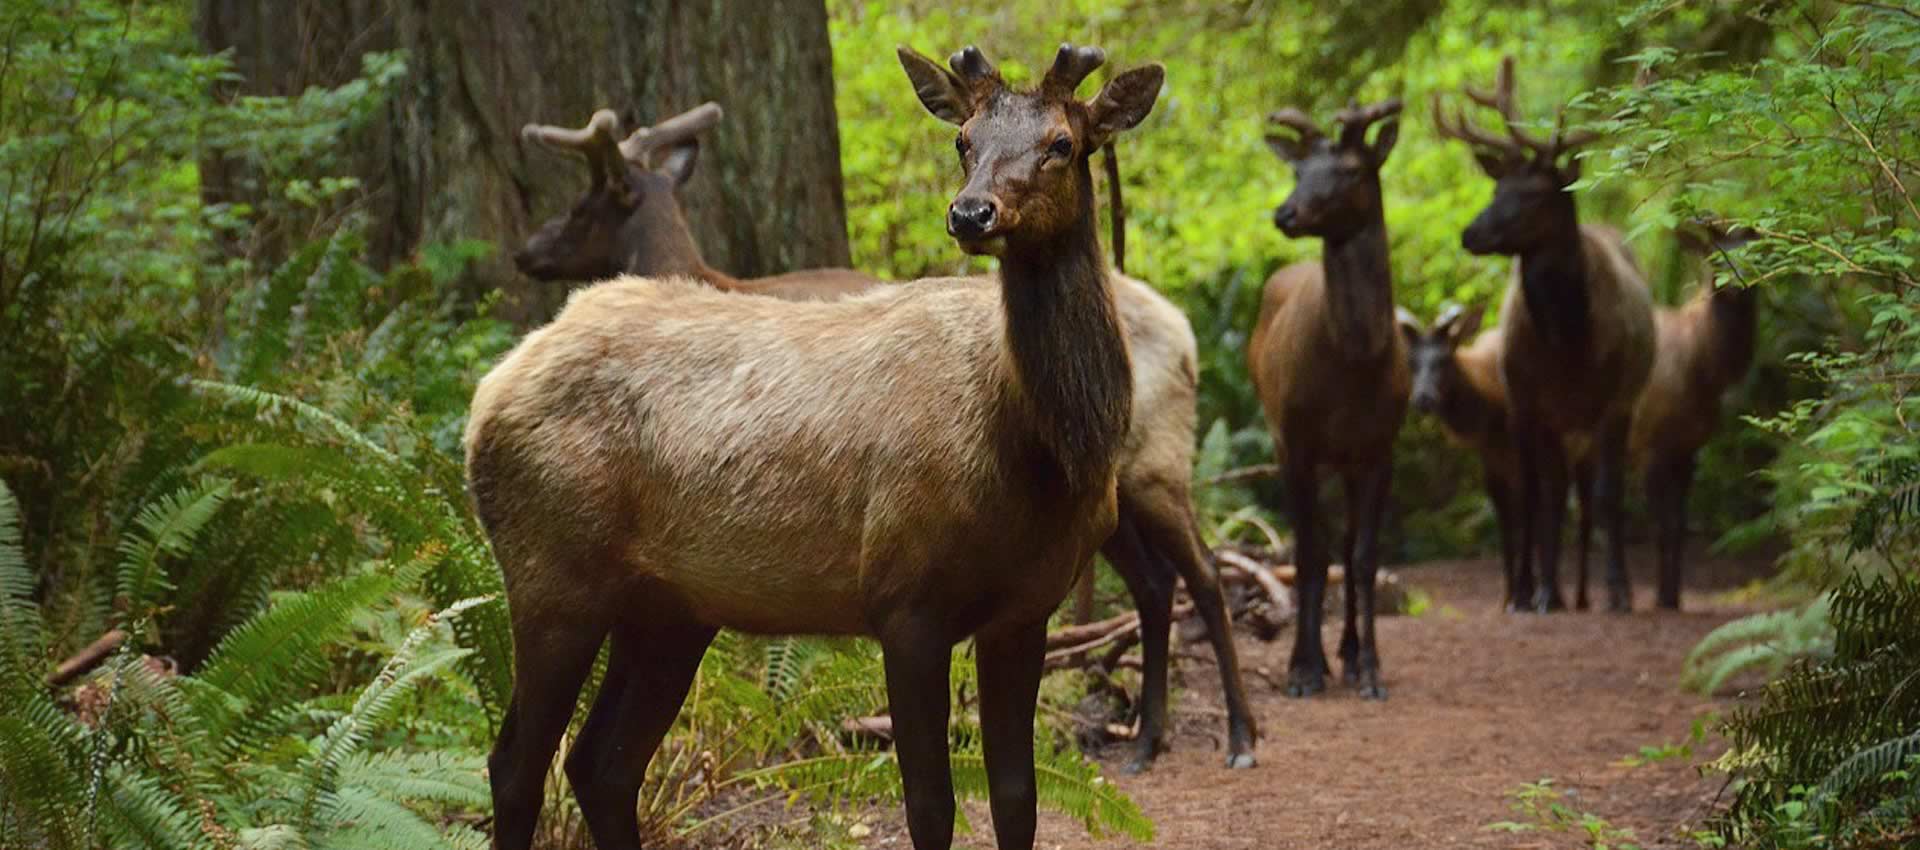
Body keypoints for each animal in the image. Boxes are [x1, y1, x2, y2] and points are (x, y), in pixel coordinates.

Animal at [466, 46, 1167, 850]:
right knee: (516, 762)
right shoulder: (904, 597)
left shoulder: (1027, 609)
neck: (1038, 458)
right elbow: (931, 807)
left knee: (601, 763)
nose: (970, 212)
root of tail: (485, 397)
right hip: (551, 572)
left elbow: (1019, 800)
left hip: (670, 608)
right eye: (963, 140)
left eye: (1063, 143)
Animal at [1244, 98, 1413, 698]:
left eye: (1352, 170)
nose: (1285, 213)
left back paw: (1349, 651)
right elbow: (1308, 556)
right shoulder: (1296, 442)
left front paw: (1371, 671)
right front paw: (1302, 668)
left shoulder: (1382, 447)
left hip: (1348, 460)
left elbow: (1361, 558)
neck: (1353, 366)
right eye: (1298, 170)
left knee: (1345, 546)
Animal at [1436, 54, 1658, 613]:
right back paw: (1547, 591)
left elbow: (1607, 496)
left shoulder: (1614, 402)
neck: (1567, 345)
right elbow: (1536, 497)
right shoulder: (1525, 401)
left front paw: (1618, 592)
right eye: (1497, 188)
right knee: (1553, 492)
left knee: (1591, 496)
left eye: (1537, 194)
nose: (1470, 233)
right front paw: (1530, 592)